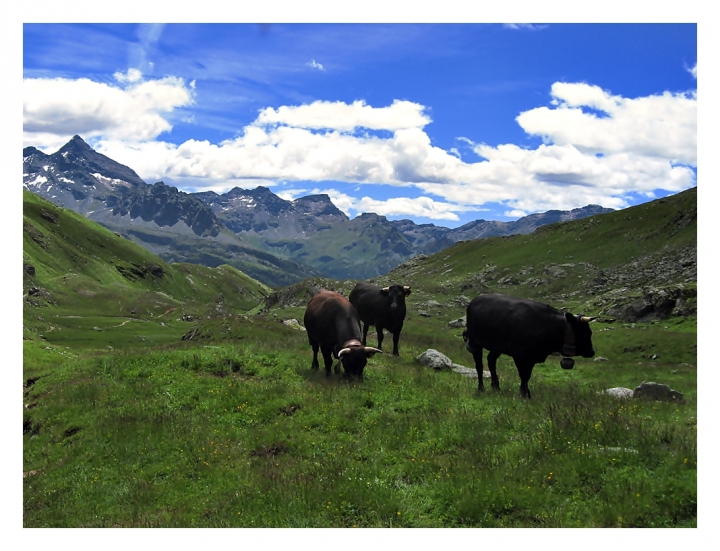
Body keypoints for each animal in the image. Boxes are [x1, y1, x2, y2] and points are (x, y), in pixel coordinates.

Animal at [462, 296, 596, 398]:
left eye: (590, 332)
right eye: (584, 333)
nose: (591, 352)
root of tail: (474, 300)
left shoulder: (532, 357)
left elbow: (528, 375)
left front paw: (525, 393)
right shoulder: (519, 355)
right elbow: (523, 374)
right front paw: (524, 394)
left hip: (497, 347)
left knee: (491, 361)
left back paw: (496, 387)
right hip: (475, 343)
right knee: (479, 366)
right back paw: (481, 388)